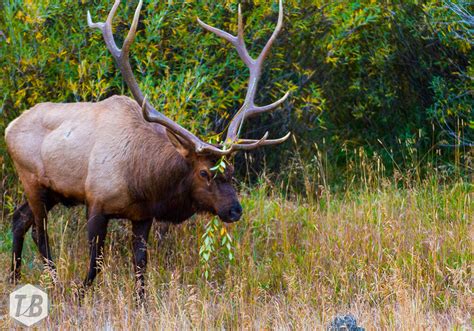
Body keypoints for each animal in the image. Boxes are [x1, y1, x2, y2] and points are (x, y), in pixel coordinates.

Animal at [5, 0, 290, 300]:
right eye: (203, 173)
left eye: (231, 171)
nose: (235, 210)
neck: (142, 179)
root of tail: (9, 127)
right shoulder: (96, 202)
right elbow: (96, 261)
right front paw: (79, 293)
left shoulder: (142, 215)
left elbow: (141, 263)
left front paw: (141, 301)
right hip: (32, 180)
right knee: (39, 232)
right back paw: (54, 282)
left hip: (53, 192)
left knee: (19, 218)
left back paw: (14, 276)